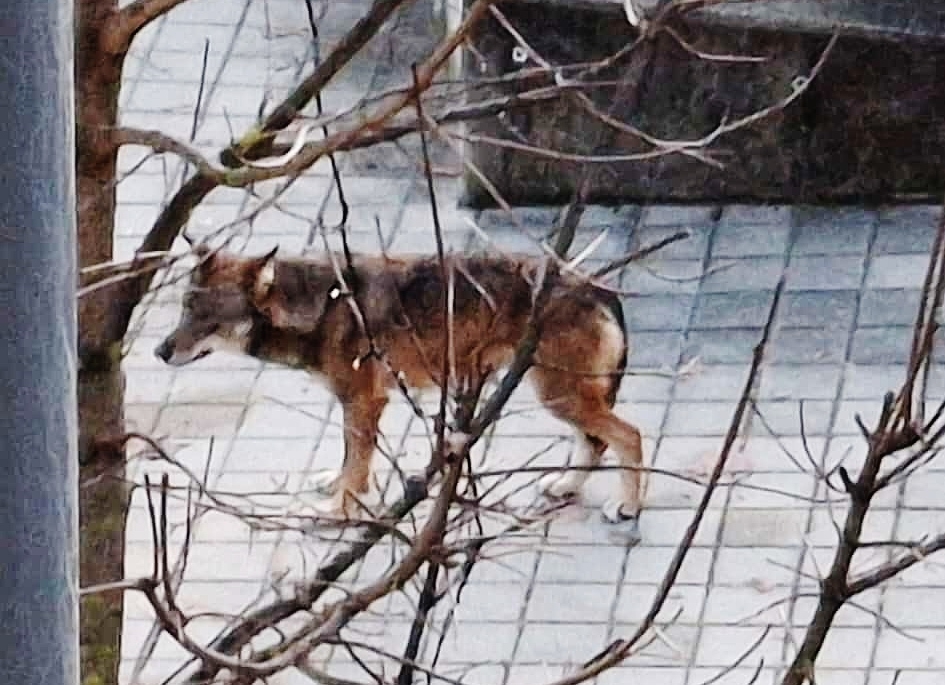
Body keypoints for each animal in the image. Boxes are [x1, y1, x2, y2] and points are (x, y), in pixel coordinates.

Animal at [155, 245, 648, 529]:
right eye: (183, 309)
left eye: (204, 318)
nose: (159, 351)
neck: (321, 307)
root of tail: (602, 289)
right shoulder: (358, 405)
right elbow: (350, 457)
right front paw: (336, 487)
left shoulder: (363, 400)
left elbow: (356, 464)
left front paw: (338, 513)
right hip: (560, 395)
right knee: (597, 441)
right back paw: (565, 486)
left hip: (559, 396)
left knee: (629, 435)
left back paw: (627, 507)